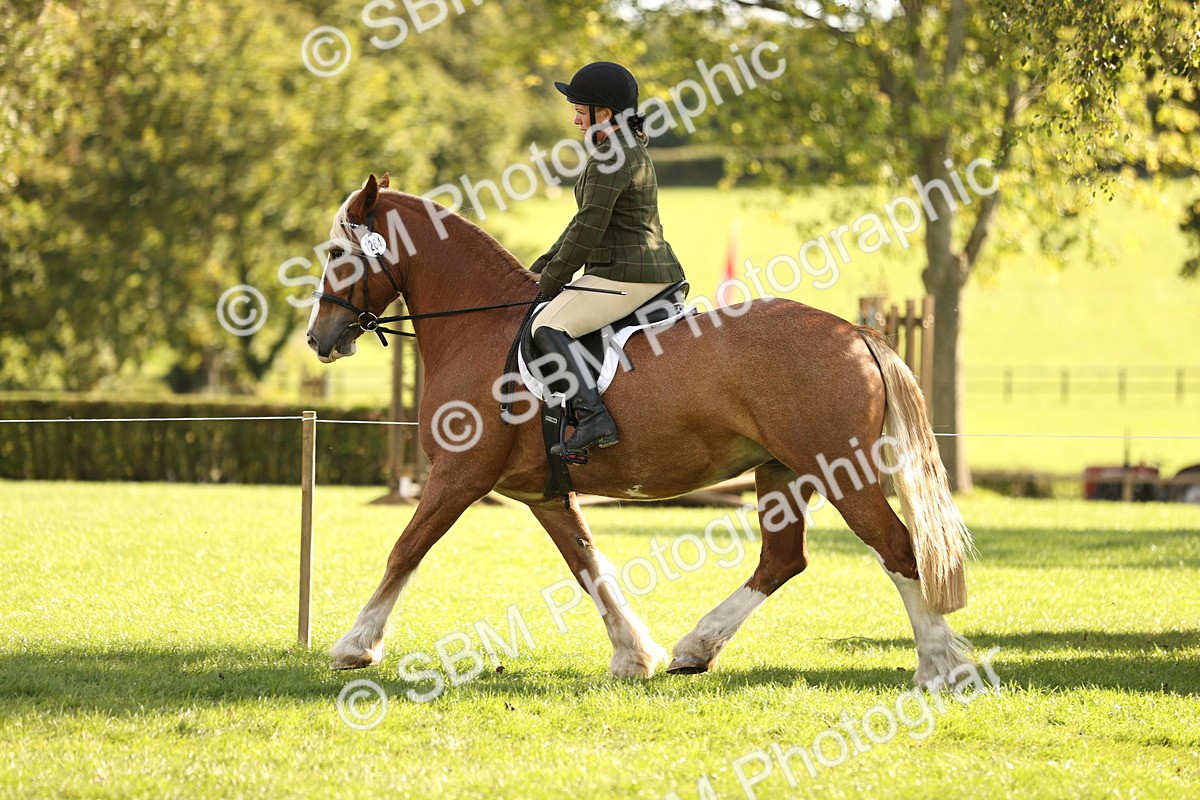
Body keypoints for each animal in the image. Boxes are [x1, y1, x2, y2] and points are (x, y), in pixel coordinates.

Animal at [306, 173, 976, 689]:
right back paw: (695, 649)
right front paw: (635, 655)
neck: (479, 325)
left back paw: (937, 667)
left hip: (840, 471)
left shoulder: (459, 474)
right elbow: (589, 568)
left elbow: (405, 549)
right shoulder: (544, 494)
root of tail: (855, 333)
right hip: (781, 471)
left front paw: (355, 646)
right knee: (783, 559)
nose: (318, 338)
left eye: (337, 254)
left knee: (897, 551)